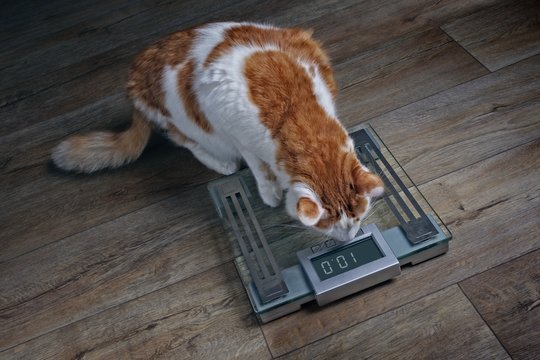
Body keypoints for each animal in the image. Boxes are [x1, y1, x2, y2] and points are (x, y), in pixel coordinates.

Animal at [51, 21, 384, 242]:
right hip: (178, 117)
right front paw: (271, 192)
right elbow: (258, 166)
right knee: (185, 140)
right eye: (329, 225)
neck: (295, 111)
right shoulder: (233, 127)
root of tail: (134, 73)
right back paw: (222, 164)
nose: (351, 238)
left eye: (357, 218)